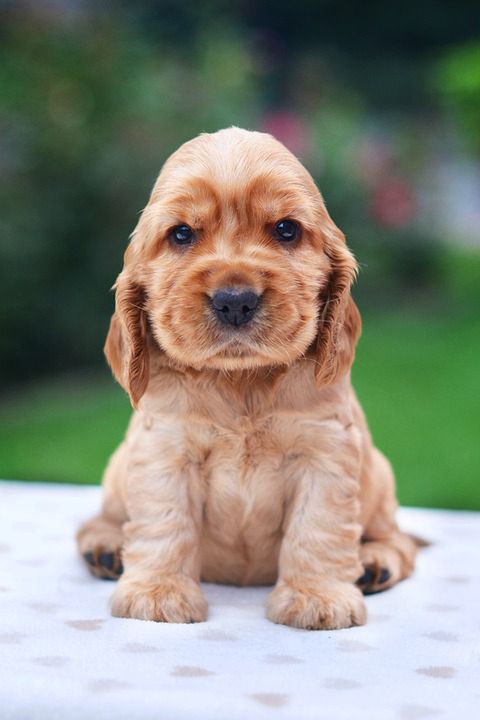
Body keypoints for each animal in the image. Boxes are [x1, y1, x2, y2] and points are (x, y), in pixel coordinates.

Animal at [76, 126, 416, 628]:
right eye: (181, 233)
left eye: (286, 229)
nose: (235, 300)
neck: (241, 381)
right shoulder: (164, 452)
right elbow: (165, 522)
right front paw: (157, 594)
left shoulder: (325, 453)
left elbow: (317, 528)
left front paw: (317, 597)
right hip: (119, 468)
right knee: (100, 519)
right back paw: (105, 547)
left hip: (381, 477)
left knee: (399, 538)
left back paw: (375, 562)